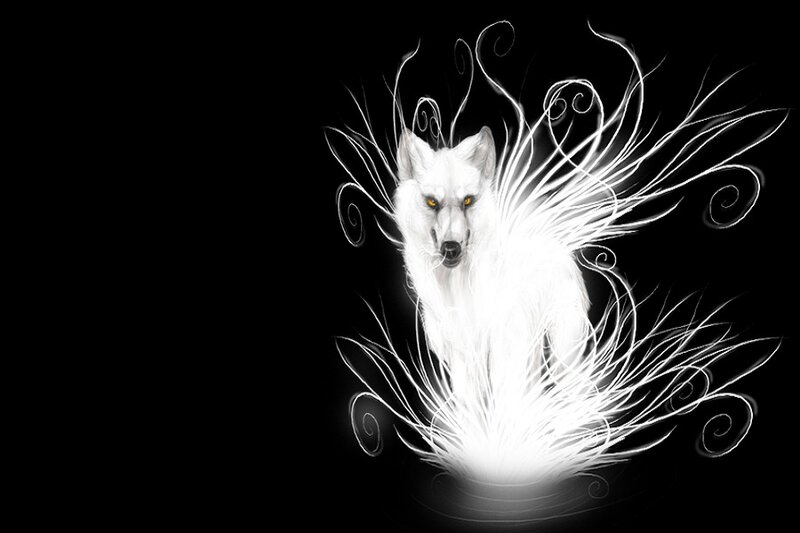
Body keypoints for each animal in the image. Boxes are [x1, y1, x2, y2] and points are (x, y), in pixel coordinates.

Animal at [394, 127, 590, 404]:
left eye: (468, 200)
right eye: (432, 202)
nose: (451, 248)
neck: (460, 288)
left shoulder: (506, 353)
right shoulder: (463, 359)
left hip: (562, 348)